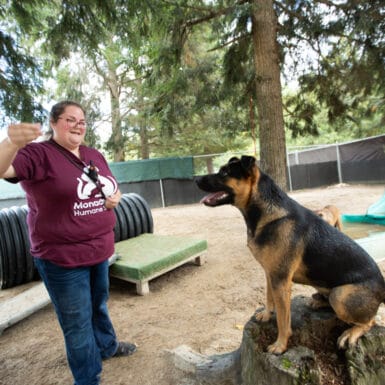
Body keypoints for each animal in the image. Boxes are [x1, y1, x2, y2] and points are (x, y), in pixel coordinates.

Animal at [196, 156, 382, 354]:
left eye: (224, 172)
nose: (195, 179)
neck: (267, 212)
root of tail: (383, 288)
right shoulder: (270, 274)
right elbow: (269, 297)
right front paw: (266, 314)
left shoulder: (281, 280)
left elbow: (283, 318)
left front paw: (280, 345)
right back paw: (318, 302)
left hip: (340, 296)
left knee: (370, 321)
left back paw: (351, 333)